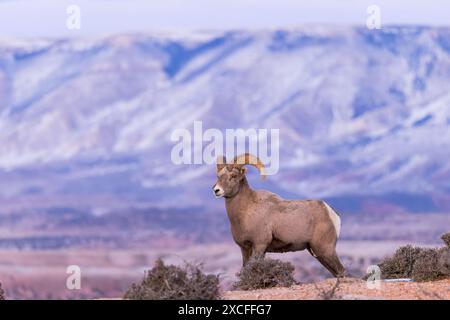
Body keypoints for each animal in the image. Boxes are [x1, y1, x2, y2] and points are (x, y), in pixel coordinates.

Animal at [213, 153, 346, 278]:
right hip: (318, 253)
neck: (245, 212)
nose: (216, 190)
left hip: (325, 249)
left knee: (341, 270)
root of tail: (331, 212)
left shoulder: (260, 245)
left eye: (233, 176)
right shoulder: (244, 248)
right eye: (218, 176)